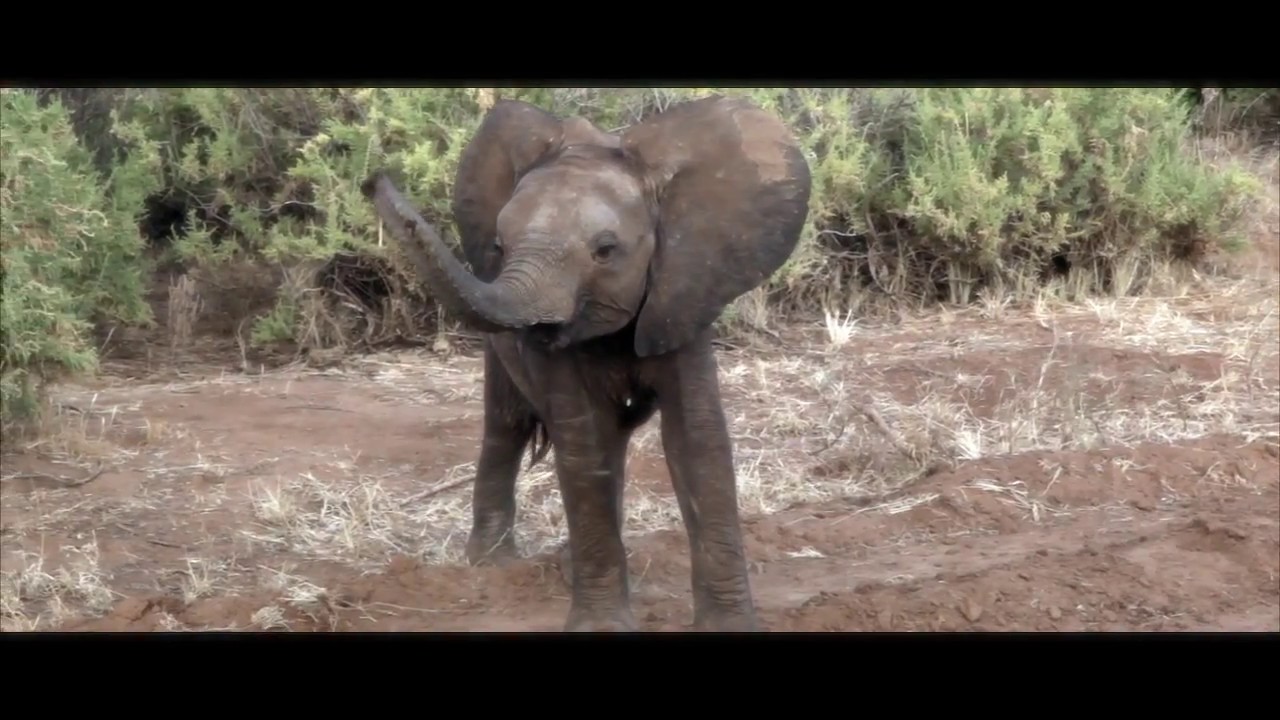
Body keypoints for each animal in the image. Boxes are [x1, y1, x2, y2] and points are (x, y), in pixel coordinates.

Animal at [360, 93, 812, 632]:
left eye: (605, 251)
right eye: (499, 247)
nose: (373, 179)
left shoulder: (682, 293)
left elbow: (697, 439)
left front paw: (729, 628)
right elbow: (583, 443)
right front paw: (601, 626)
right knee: (507, 424)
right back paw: (493, 564)